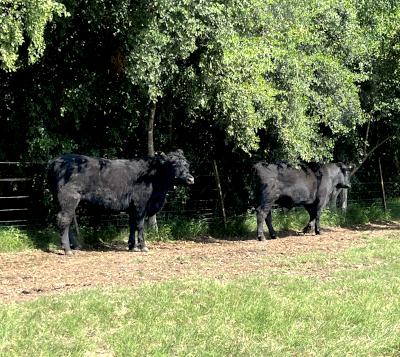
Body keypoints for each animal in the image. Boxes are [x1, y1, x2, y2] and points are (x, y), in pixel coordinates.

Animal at [47, 149, 195, 254]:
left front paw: (132, 246)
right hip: (69, 199)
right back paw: (68, 249)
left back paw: (75, 246)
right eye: (173, 164)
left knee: (68, 221)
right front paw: (143, 247)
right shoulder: (141, 204)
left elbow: (132, 225)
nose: (190, 179)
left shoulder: (132, 207)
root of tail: (56, 160)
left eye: (187, 164)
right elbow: (140, 225)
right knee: (64, 220)